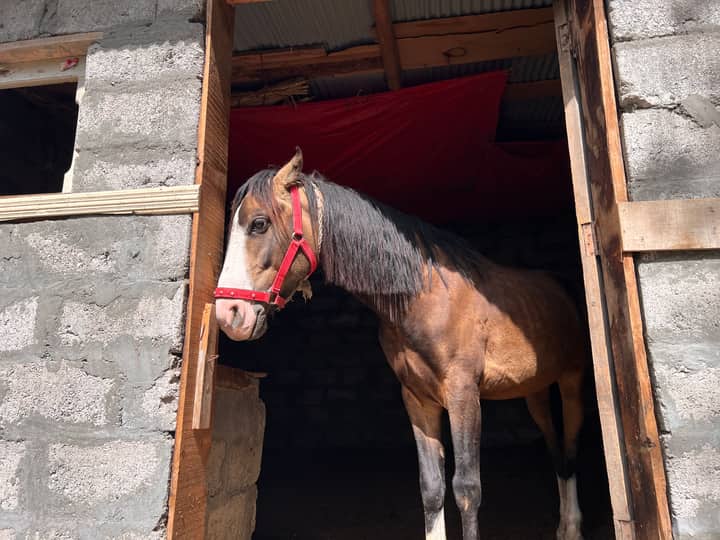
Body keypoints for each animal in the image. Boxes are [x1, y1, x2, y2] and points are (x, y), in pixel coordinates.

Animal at [214, 149, 586, 540]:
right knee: (556, 449)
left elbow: (467, 489)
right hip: (536, 391)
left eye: (259, 224)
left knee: (570, 448)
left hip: (572, 381)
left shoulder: (464, 395)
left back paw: (574, 526)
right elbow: (431, 487)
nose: (229, 313)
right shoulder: (418, 398)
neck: (423, 295)